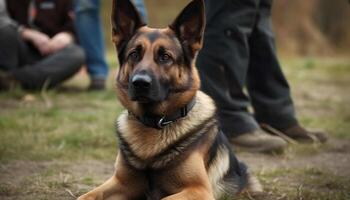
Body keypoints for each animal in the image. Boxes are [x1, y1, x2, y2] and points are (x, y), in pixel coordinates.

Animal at [78, 0, 262, 199]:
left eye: (165, 57)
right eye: (134, 54)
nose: (140, 83)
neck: (153, 123)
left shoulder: (198, 189)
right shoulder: (120, 182)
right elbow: (86, 195)